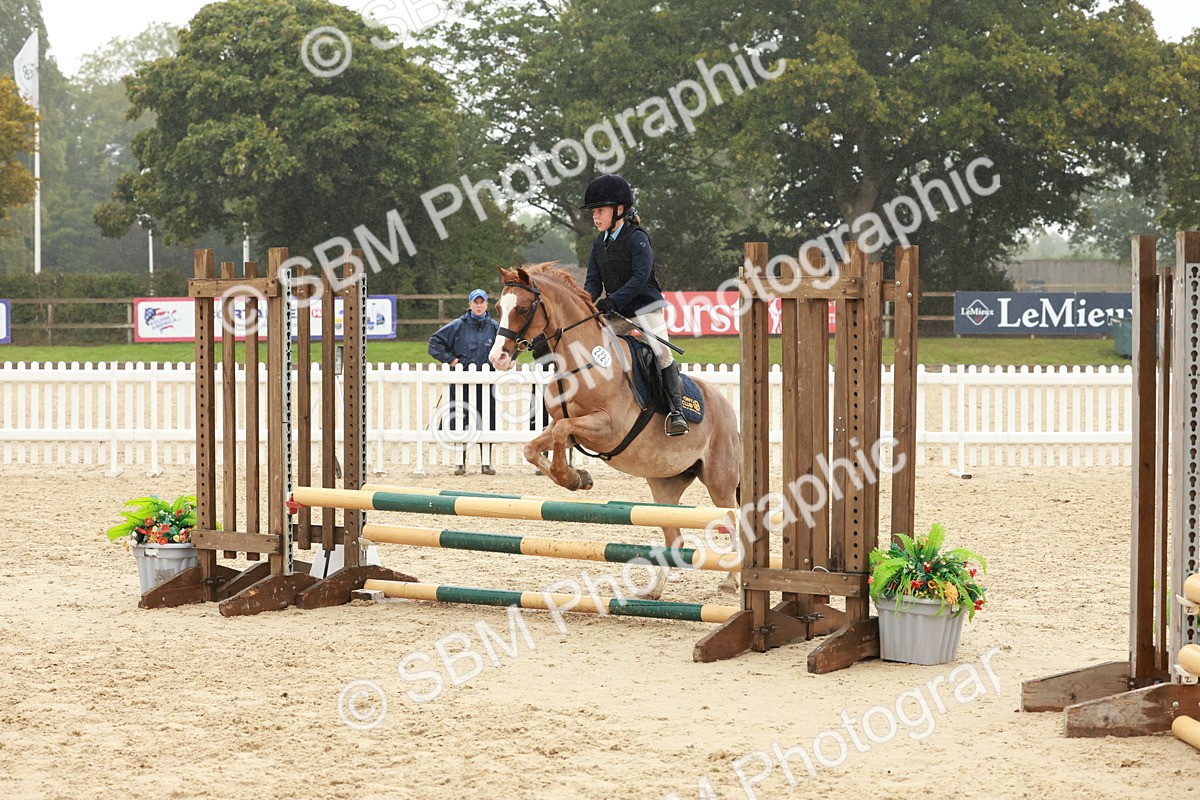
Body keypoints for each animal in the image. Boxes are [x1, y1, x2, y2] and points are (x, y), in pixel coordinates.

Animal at [487, 263, 742, 598]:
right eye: (498, 308)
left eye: (522, 308)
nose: (497, 358)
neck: (580, 362)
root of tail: (725, 405)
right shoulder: (562, 425)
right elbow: (535, 447)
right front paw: (578, 478)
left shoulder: (608, 427)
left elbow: (562, 433)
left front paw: (572, 478)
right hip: (665, 485)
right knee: (675, 537)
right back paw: (654, 592)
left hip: (719, 481)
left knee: (735, 523)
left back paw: (731, 581)